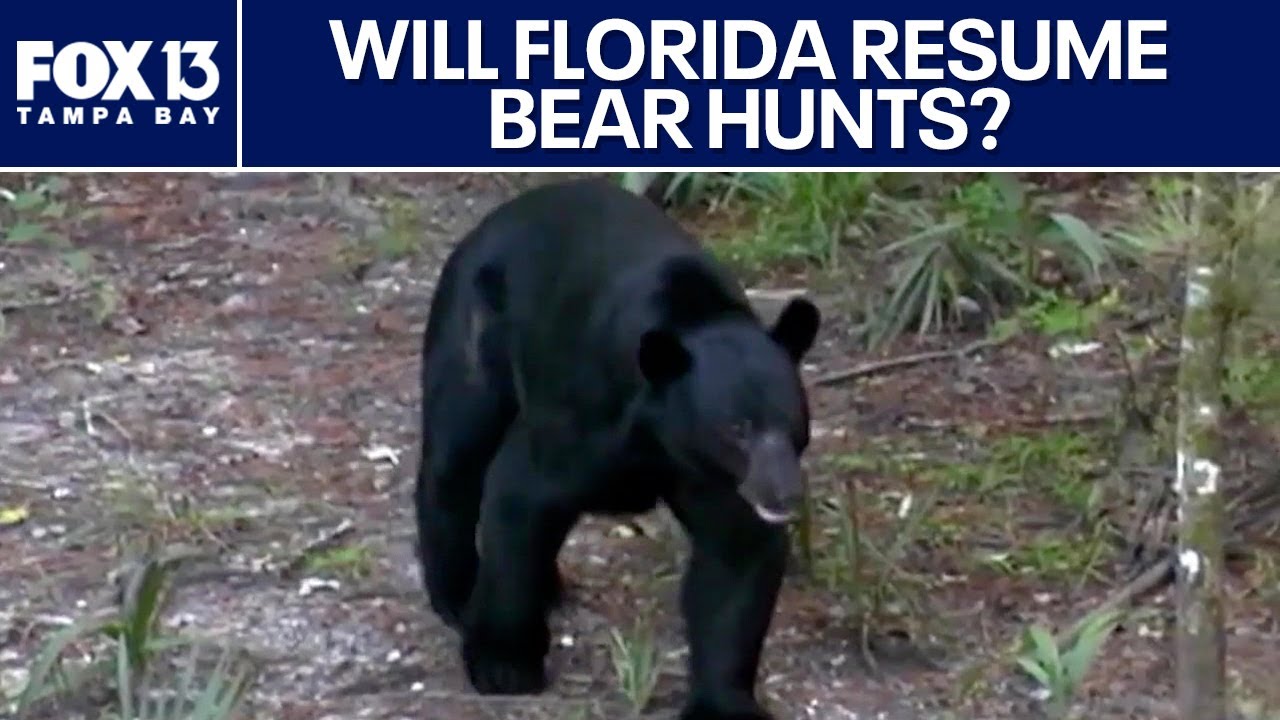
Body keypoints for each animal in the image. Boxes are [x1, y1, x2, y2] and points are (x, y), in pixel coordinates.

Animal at [414, 177, 821, 720]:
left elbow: (735, 562)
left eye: (793, 421)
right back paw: (456, 593)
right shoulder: (578, 422)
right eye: (737, 427)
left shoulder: (716, 478)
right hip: (473, 337)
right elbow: (520, 498)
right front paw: (504, 664)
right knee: (454, 463)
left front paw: (725, 704)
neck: (661, 435)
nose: (783, 495)